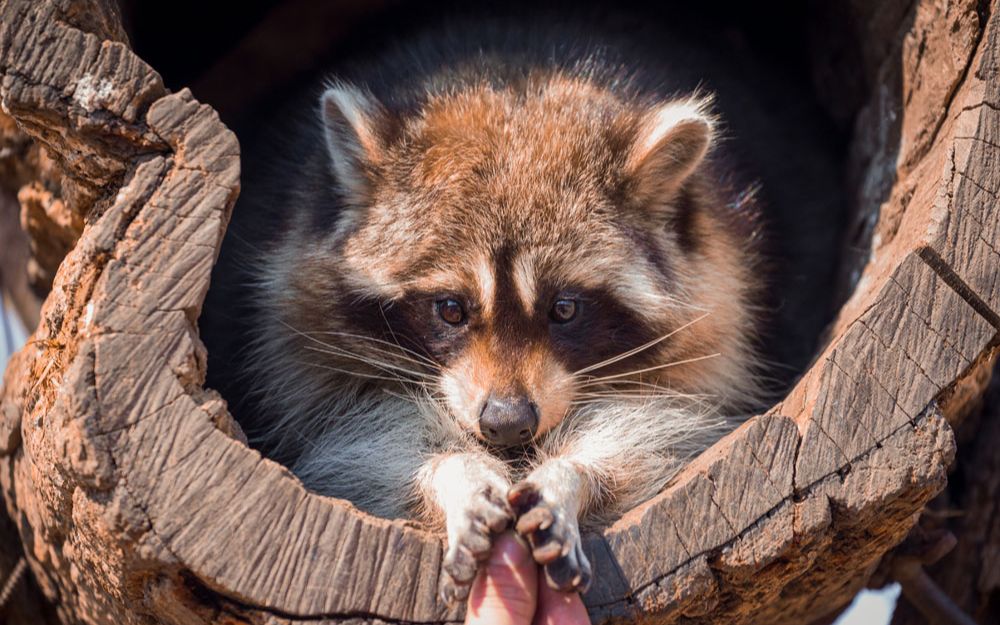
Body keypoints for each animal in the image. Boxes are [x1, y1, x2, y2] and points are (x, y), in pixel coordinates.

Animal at [209, 18, 756, 600]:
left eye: (565, 309)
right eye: (450, 309)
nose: (507, 424)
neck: (509, 72)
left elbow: (661, 437)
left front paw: (570, 476)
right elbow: (357, 451)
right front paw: (455, 474)